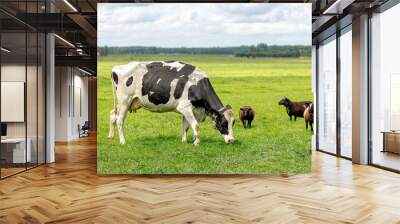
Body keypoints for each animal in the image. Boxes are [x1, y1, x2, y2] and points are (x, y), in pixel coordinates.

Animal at [108, 60, 236, 145]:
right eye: (223, 123)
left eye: (233, 123)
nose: (231, 140)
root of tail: (116, 68)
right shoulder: (185, 107)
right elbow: (195, 125)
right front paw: (197, 142)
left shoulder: (190, 110)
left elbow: (185, 126)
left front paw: (185, 141)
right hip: (124, 100)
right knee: (119, 120)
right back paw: (122, 141)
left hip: (125, 102)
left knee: (113, 115)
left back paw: (110, 136)